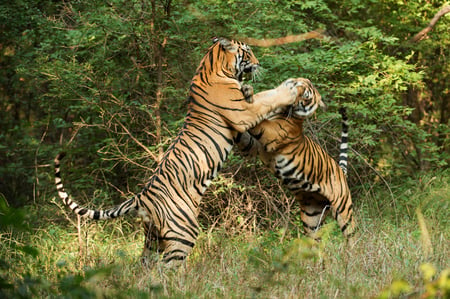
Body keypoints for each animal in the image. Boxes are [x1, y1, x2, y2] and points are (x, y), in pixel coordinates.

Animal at [52, 37, 308, 264]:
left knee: (144, 268)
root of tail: (140, 198)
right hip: (183, 232)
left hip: (152, 239)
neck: (213, 64)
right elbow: (269, 97)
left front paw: (251, 89)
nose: (257, 62)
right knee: (167, 268)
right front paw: (289, 89)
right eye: (247, 52)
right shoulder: (244, 113)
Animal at [237, 79, 356, 244]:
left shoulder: (273, 133)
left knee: (351, 236)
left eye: (306, 97)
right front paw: (247, 90)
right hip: (312, 218)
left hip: (344, 210)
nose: (293, 95)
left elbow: (259, 121)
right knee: (316, 241)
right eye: (298, 84)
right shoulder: (253, 146)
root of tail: (341, 171)